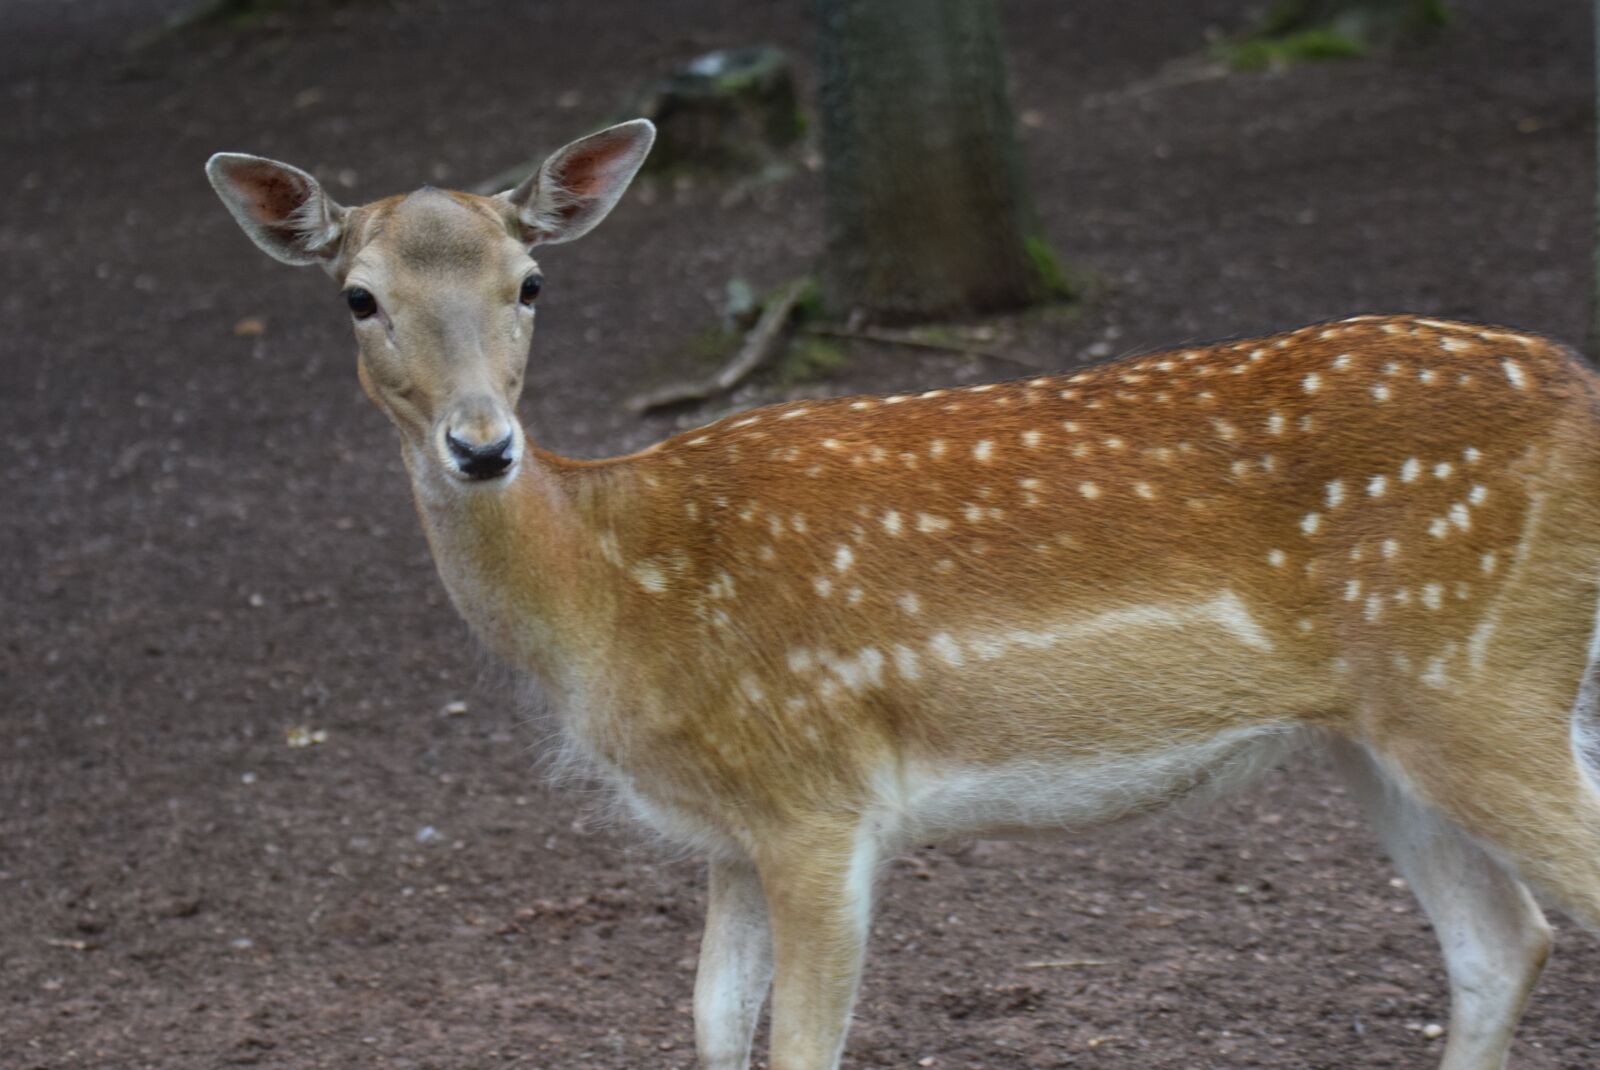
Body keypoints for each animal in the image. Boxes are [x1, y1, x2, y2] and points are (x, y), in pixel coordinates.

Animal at [206, 118, 1600, 1070]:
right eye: (359, 295)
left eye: (530, 283)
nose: (482, 446)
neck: (610, 596)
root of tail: (1577, 383)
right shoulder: (727, 830)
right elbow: (709, 1023)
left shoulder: (817, 799)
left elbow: (794, 1045)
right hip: (1379, 729)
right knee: (1501, 940)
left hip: (1484, 680)